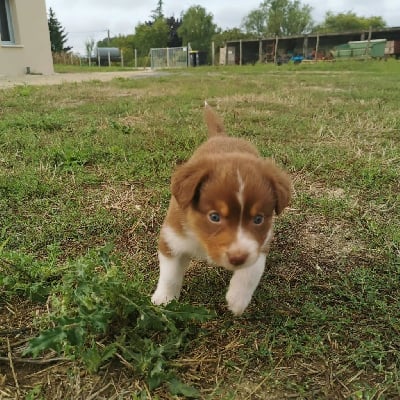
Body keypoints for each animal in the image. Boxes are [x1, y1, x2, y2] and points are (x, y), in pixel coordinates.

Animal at [150, 103, 290, 316]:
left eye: (258, 219)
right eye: (214, 217)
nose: (238, 258)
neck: (201, 240)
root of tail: (222, 136)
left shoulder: (262, 242)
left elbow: (251, 270)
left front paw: (237, 300)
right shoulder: (172, 236)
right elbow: (170, 274)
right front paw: (164, 299)